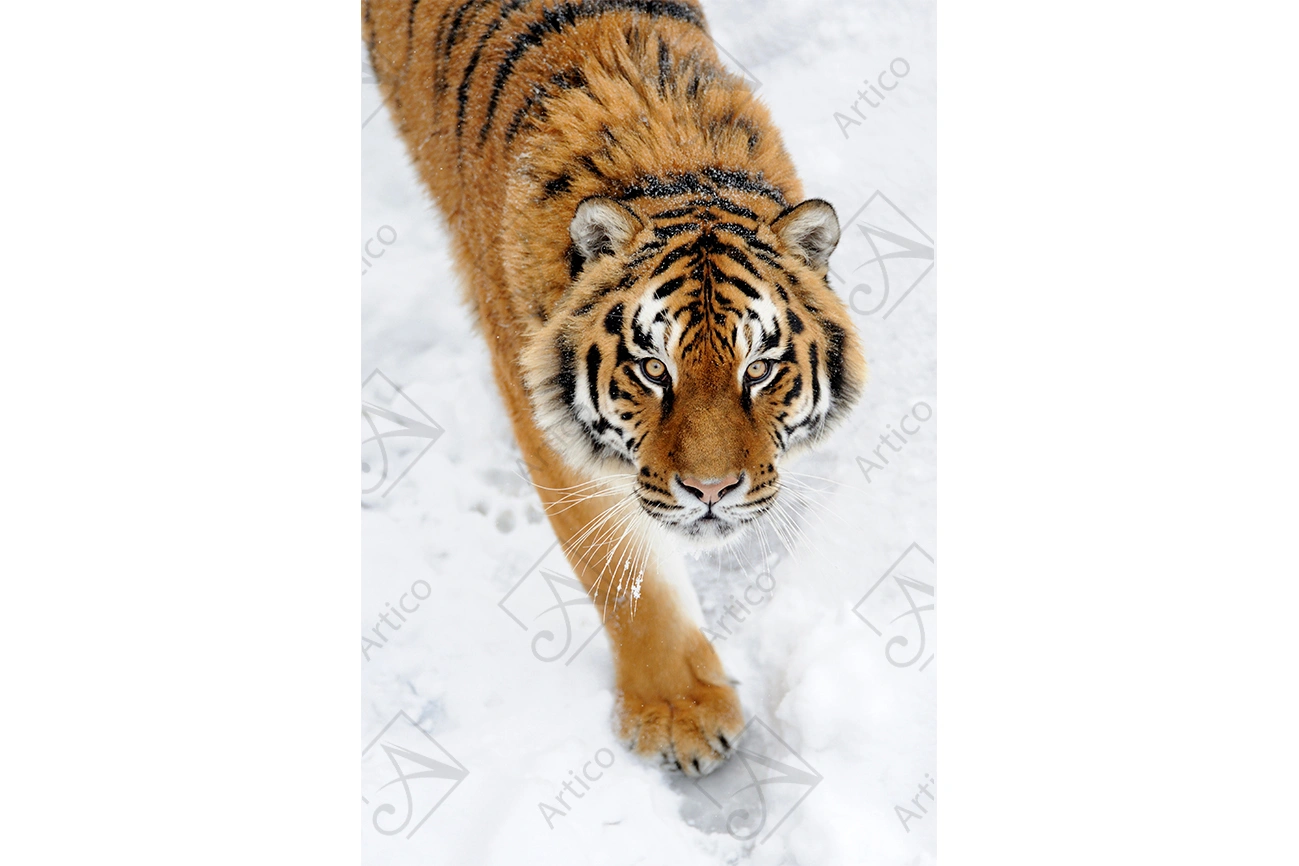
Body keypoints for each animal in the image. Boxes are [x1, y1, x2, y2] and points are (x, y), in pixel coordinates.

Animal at [364, 0, 866, 776]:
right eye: (653, 369)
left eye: (757, 368)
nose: (712, 491)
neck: (675, 169)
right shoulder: (549, 430)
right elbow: (624, 575)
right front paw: (680, 714)